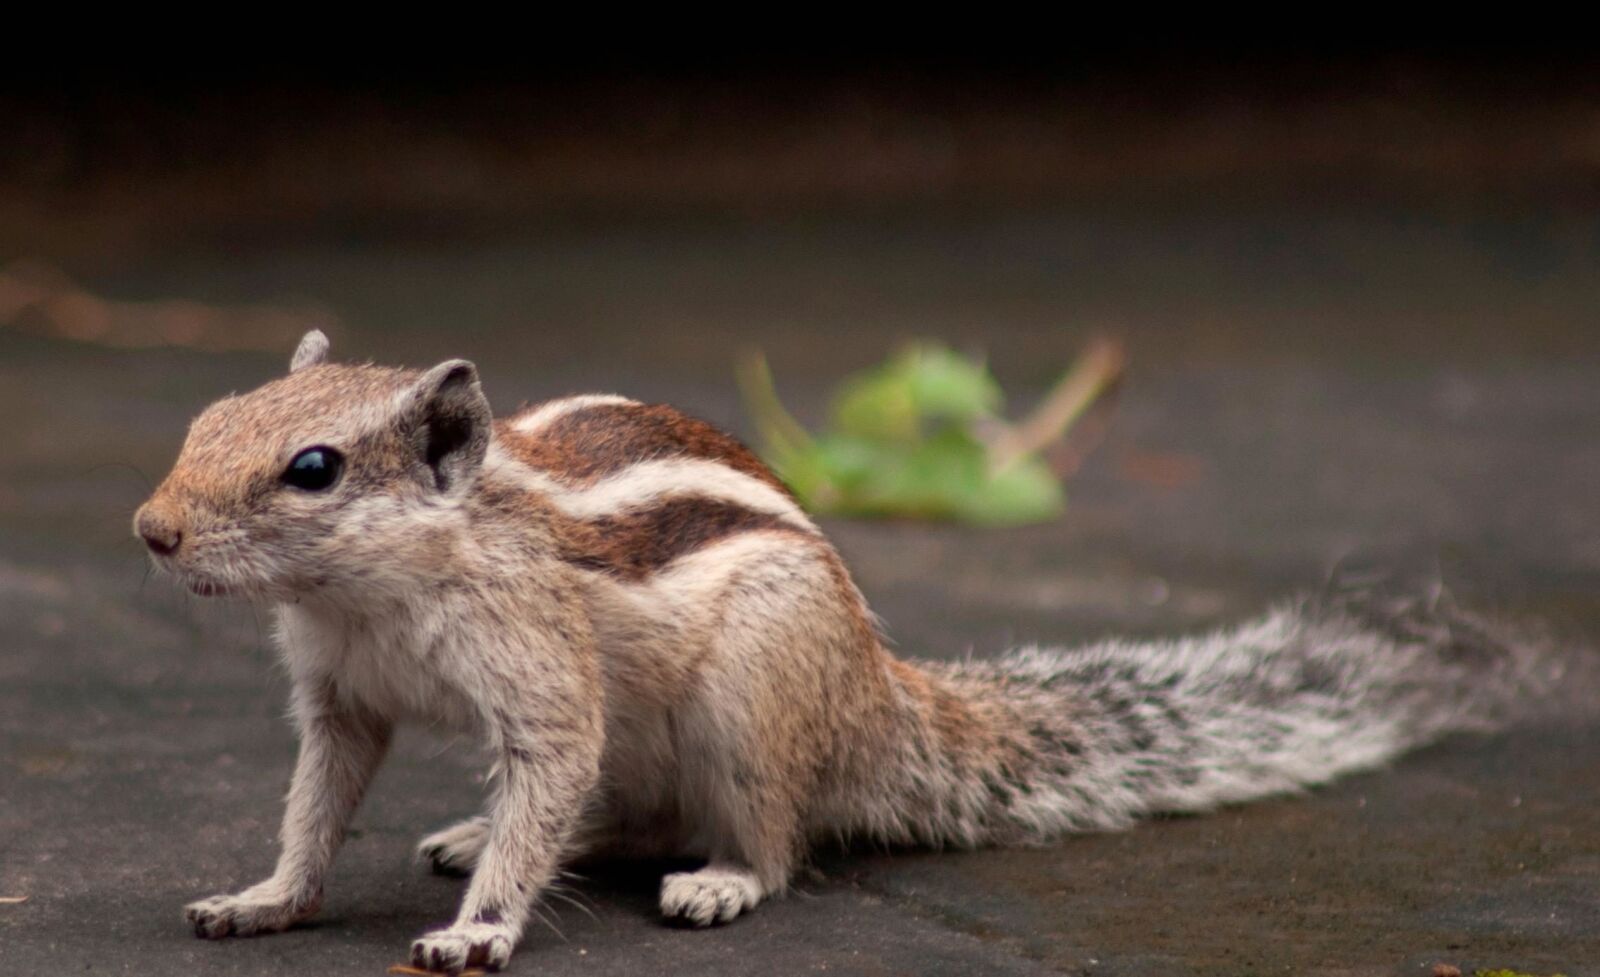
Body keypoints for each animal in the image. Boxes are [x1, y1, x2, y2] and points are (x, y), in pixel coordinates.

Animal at [134, 330, 1570, 974]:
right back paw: (472, 831)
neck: (374, 589)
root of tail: (883, 703)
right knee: (624, 810)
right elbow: (316, 803)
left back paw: (717, 880)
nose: (152, 529)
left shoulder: (539, 672)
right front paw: (266, 896)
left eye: (312, 467)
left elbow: (548, 764)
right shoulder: (340, 696)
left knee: (763, 833)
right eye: (210, 413)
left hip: (751, 690)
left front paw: (480, 926)